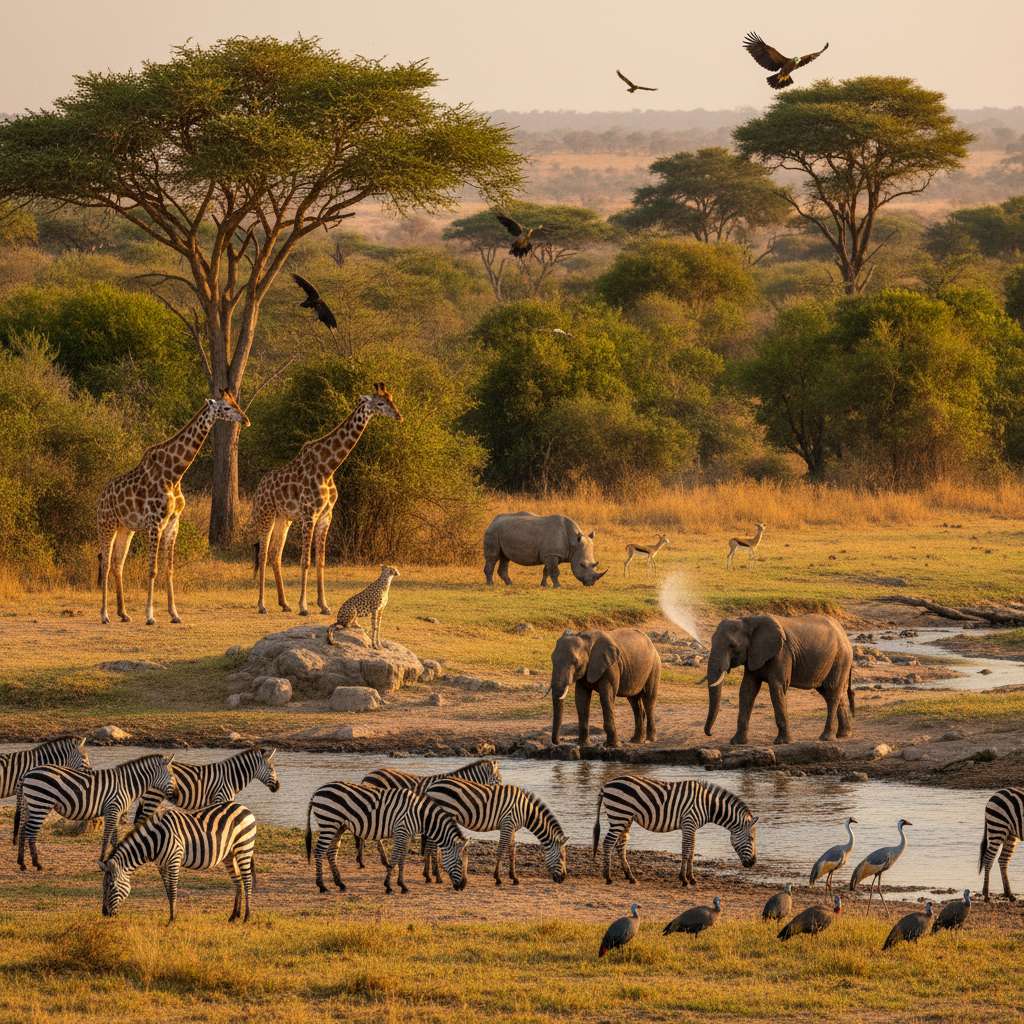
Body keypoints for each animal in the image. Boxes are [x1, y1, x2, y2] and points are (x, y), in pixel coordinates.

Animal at [703, 613, 854, 746]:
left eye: (732, 646)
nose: (710, 733)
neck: (749, 620)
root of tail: (844, 635)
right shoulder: (753, 654)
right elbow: (747, 690)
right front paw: (737, 742)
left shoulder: (782, 653)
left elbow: (777, 687)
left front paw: (782, 742)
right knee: (831, 693)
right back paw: (843, 734)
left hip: (840, 658)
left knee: (832, 692)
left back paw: (826, 738)